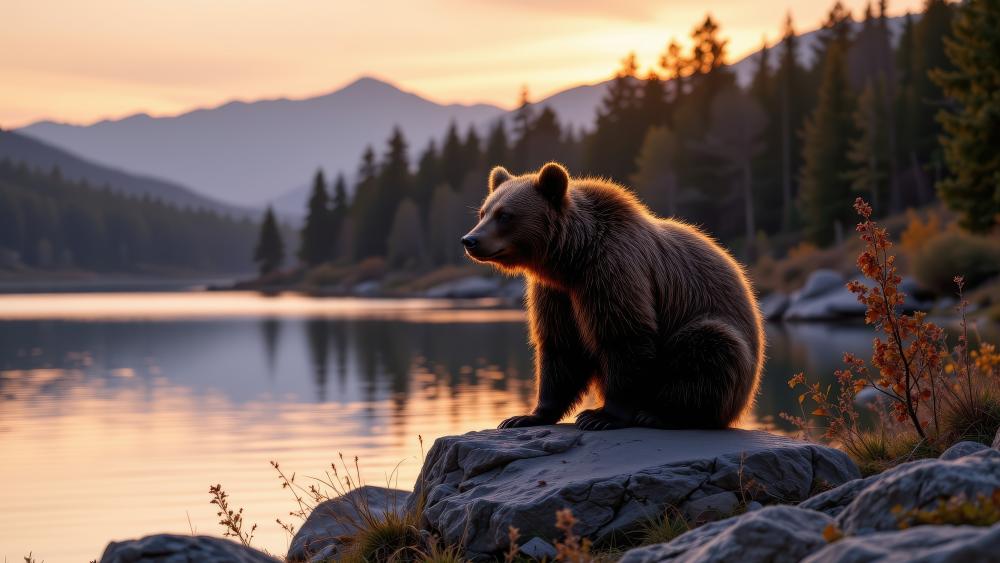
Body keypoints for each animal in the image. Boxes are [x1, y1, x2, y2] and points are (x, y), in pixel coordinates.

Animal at [460, 162, 764, 431]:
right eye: (483, 212)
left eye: (505, 215)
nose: (470, 240)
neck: (572, 258)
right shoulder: (557, 294)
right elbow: (560, 347)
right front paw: (525, 416)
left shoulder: (612, 271)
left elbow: (624, 337)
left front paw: (600, 416)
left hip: (714, 330)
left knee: (709, 346)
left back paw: (661, 414)